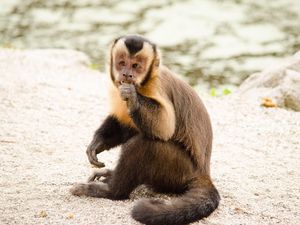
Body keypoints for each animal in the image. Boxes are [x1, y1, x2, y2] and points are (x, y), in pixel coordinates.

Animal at [71, 34, 220, 224]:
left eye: (136, 66)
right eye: (122, 63)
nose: (127, 74)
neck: (143, 84)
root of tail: (204, 173)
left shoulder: (156, 87)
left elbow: (163, 128)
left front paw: (133, 97)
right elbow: (124, 124)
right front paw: (97, 142)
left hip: (179, 172)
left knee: (144, 144)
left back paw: (112, 191)